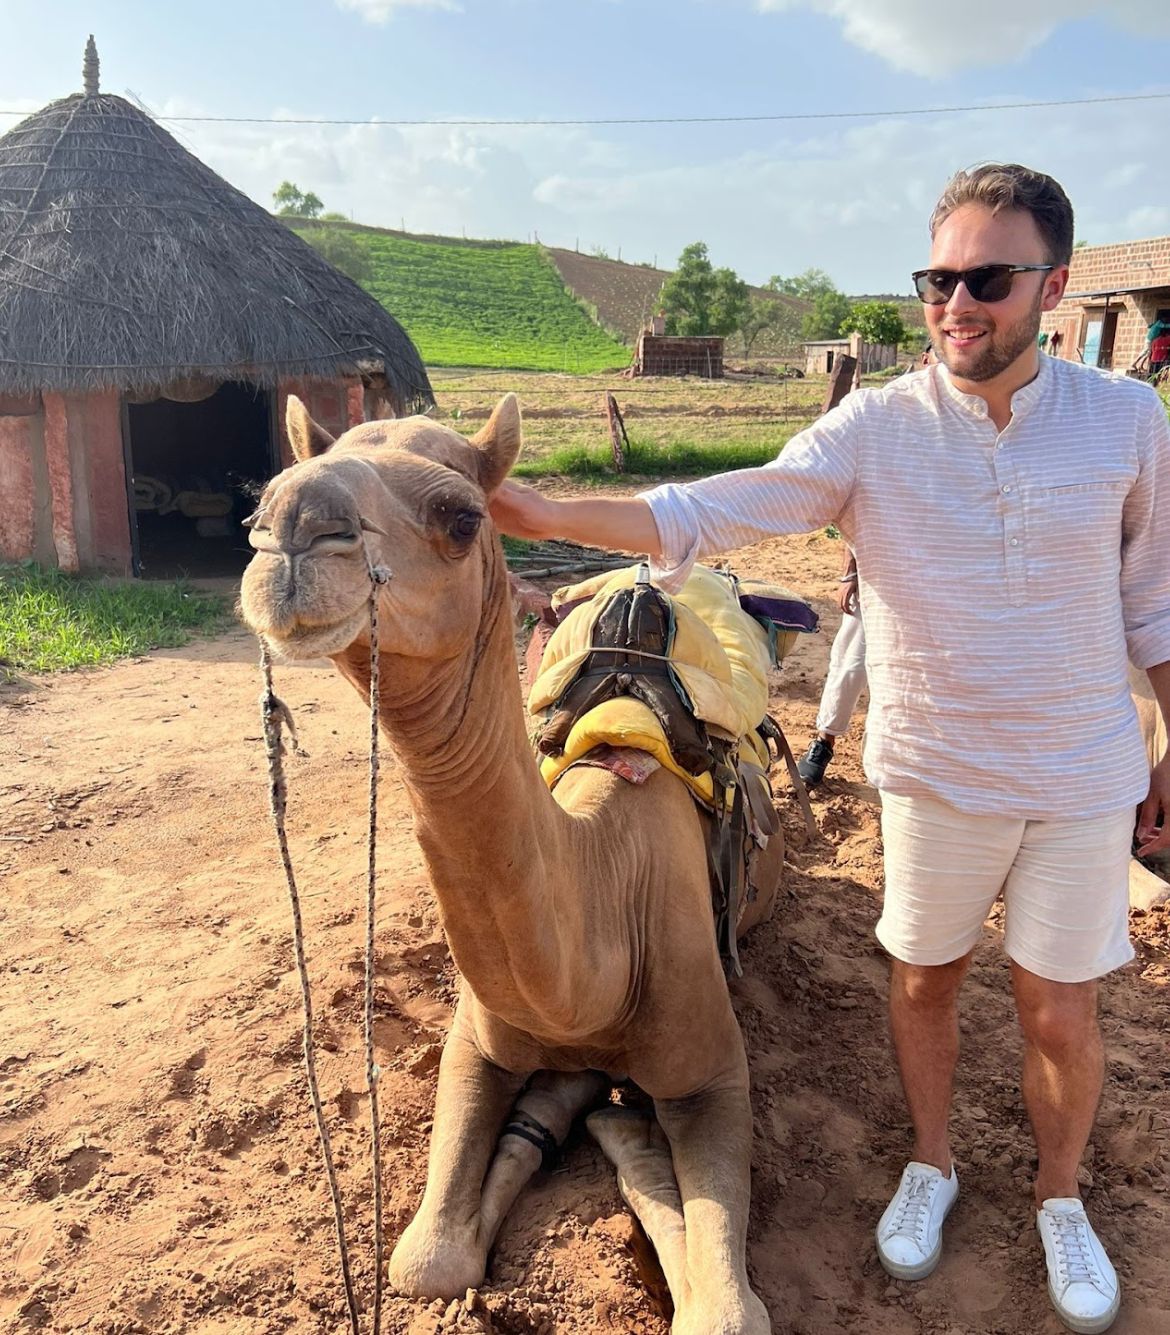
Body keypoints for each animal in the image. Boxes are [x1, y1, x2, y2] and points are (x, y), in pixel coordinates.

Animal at [237, 395, 785, 1335]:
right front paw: (582, 1115)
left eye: (462, 518)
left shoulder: (714, 1067)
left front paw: (625, 1131)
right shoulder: (476, 1039)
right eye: (259, 503)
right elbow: (427, 1262)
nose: (294, 527)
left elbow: (725, 1312)